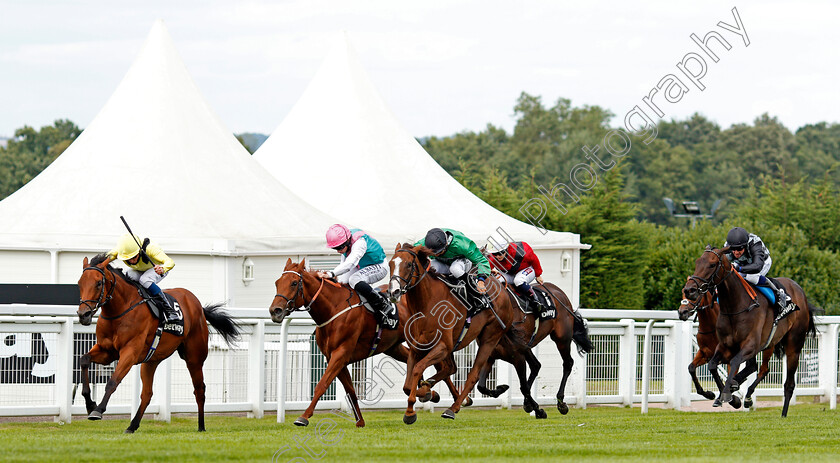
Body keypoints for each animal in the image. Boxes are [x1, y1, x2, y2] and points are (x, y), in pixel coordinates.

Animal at [75, 254, 241, 432]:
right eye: (80, 283)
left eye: (98, 283)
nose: (83, 314)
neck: (120, 310)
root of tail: (198, 305)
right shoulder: (107, 351)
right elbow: (84, 359)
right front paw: (90, 404)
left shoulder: (130, 352)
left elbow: (113, 381)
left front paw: (98, 410)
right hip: (151, 361)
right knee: (147, 394)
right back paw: (132, 425)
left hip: (194, 358)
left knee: (199, 389)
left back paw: (201, 426)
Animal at [270, 258, 462, 428]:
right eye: (277, 282)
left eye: (294, 283)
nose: (275, 311)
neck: (334, 308)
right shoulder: (336, 358)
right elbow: (351, 390)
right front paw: (360, 421)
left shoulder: (340, 354)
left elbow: (322, 385)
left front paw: (303, 417)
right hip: (393, 347)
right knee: (418, 363)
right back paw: (432, 393)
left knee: (440, 366)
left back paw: (453, 399)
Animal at [388, 245, 520, 426]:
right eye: (390, 264)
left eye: (408, 264)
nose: (393, 291)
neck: (426, 305)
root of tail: (503, 288)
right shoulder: (416, 348)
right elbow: (407, 386)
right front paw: (427, 393)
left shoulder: (442, 347)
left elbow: (417, 369)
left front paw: (411, 411)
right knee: (451, 368)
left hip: (490, 338)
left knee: (473, 374)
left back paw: (453, 408)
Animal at [476, 280, 592, 418]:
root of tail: (559, 291)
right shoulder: (491, 356)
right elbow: (481, 386)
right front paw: (502, 389)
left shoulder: (517, 356)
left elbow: (524, 387)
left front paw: (539, 410)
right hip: (528, 347)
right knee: (536, 365)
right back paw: (529, 403)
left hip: (562, 339)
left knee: (567, 363)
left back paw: (561, 403)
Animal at [684, 246, 812, 416]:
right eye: (698, 262)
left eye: (712, 264)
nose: (689, 290)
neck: (735, 307)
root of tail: (800, 291)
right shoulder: (721, 347)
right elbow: (710, 366)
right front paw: (727, 396)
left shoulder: (749, 346)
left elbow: (735, 363)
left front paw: (730, 394)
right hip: (770, 343)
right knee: (762, 369)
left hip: (793, 346)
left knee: (788, 383)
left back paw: (783, 414)